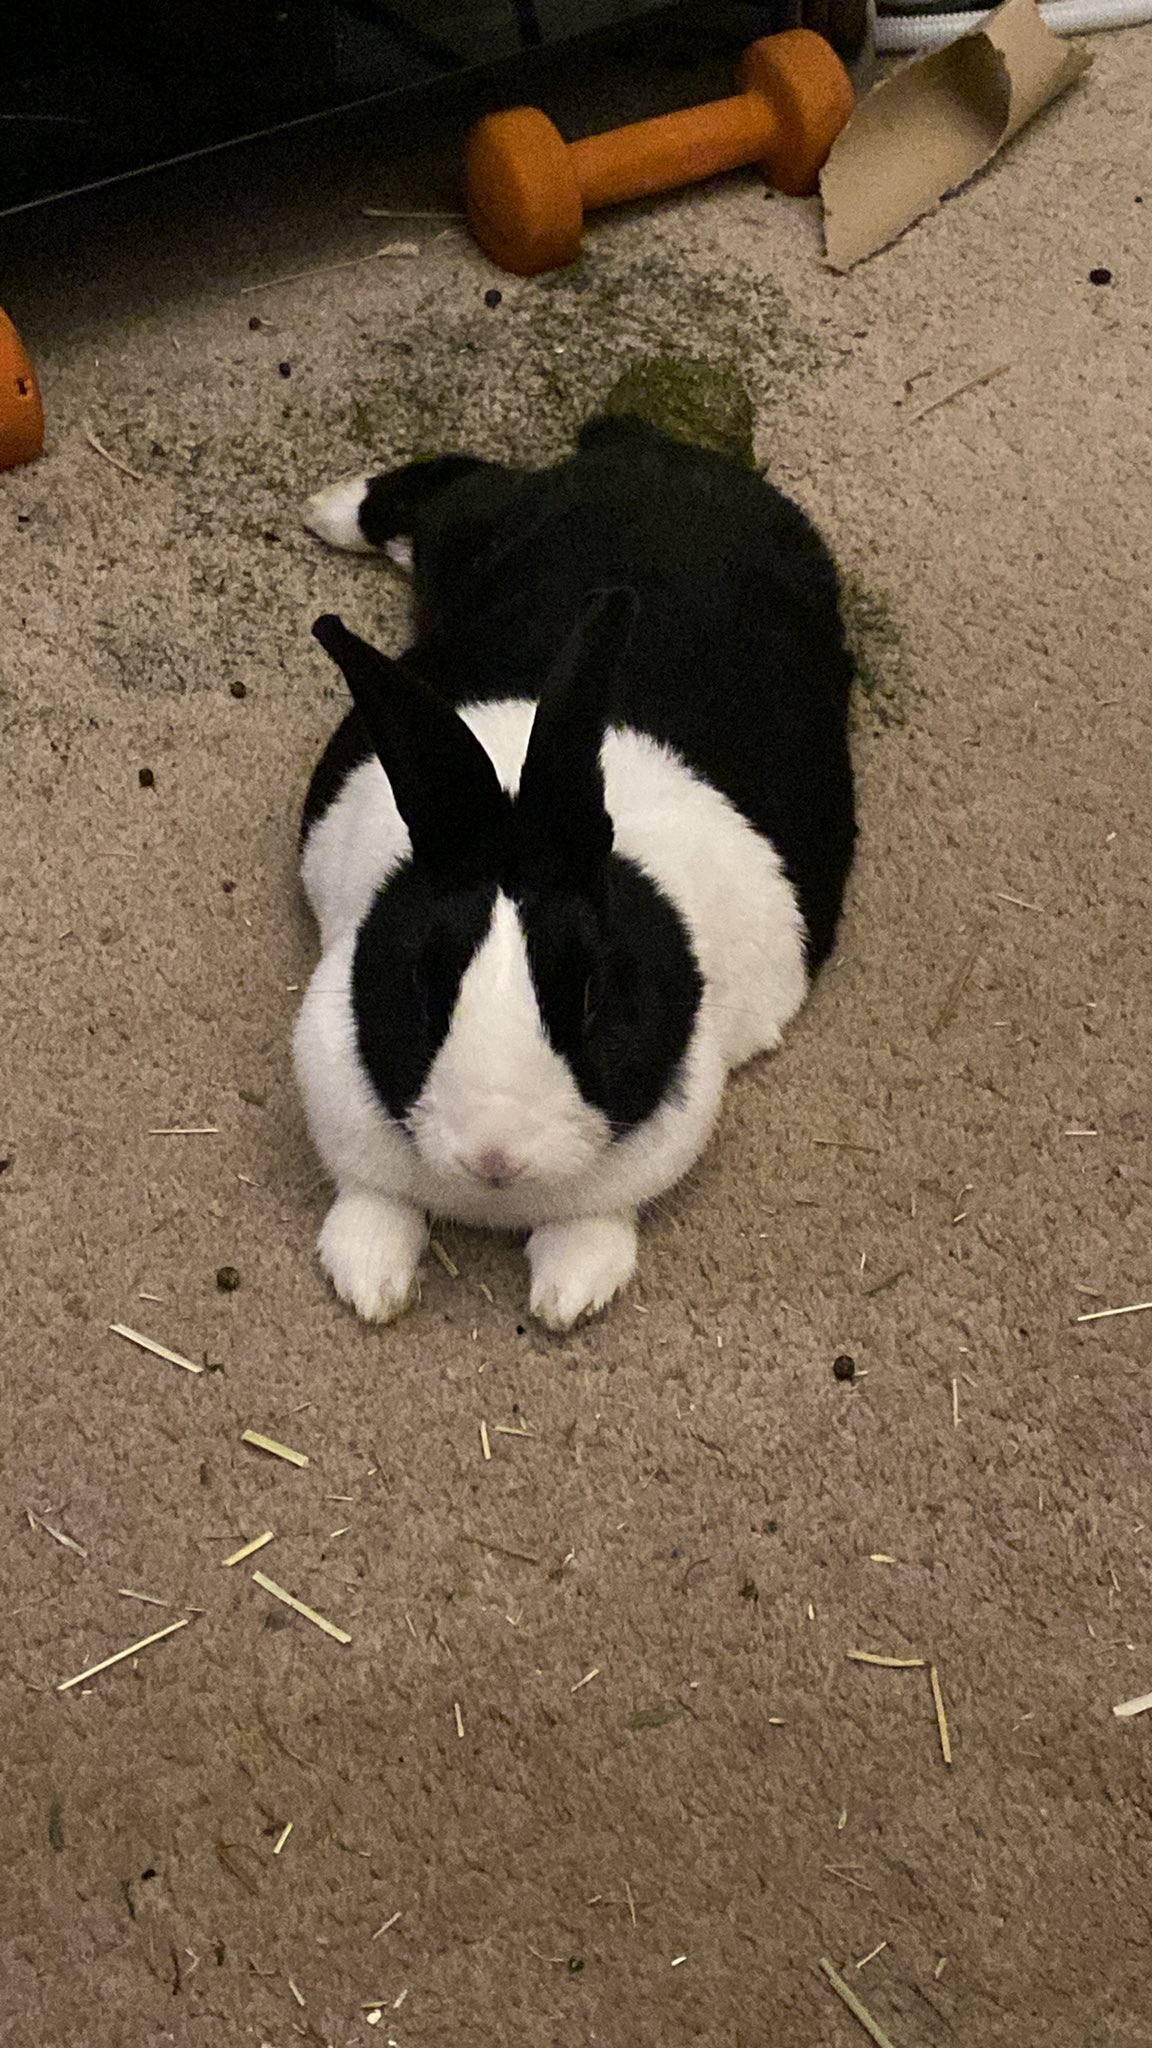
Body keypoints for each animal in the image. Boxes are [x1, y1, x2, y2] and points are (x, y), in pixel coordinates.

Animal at [295, 416, 856, 1330]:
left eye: (592, 994)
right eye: (424, 986)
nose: (494, 1156)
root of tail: (653, 453)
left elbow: (595, 1222)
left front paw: (570, 1295)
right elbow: (373, 1199)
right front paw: (369, 1282)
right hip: (477, 534)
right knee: (455, 490)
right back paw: (327, 508)